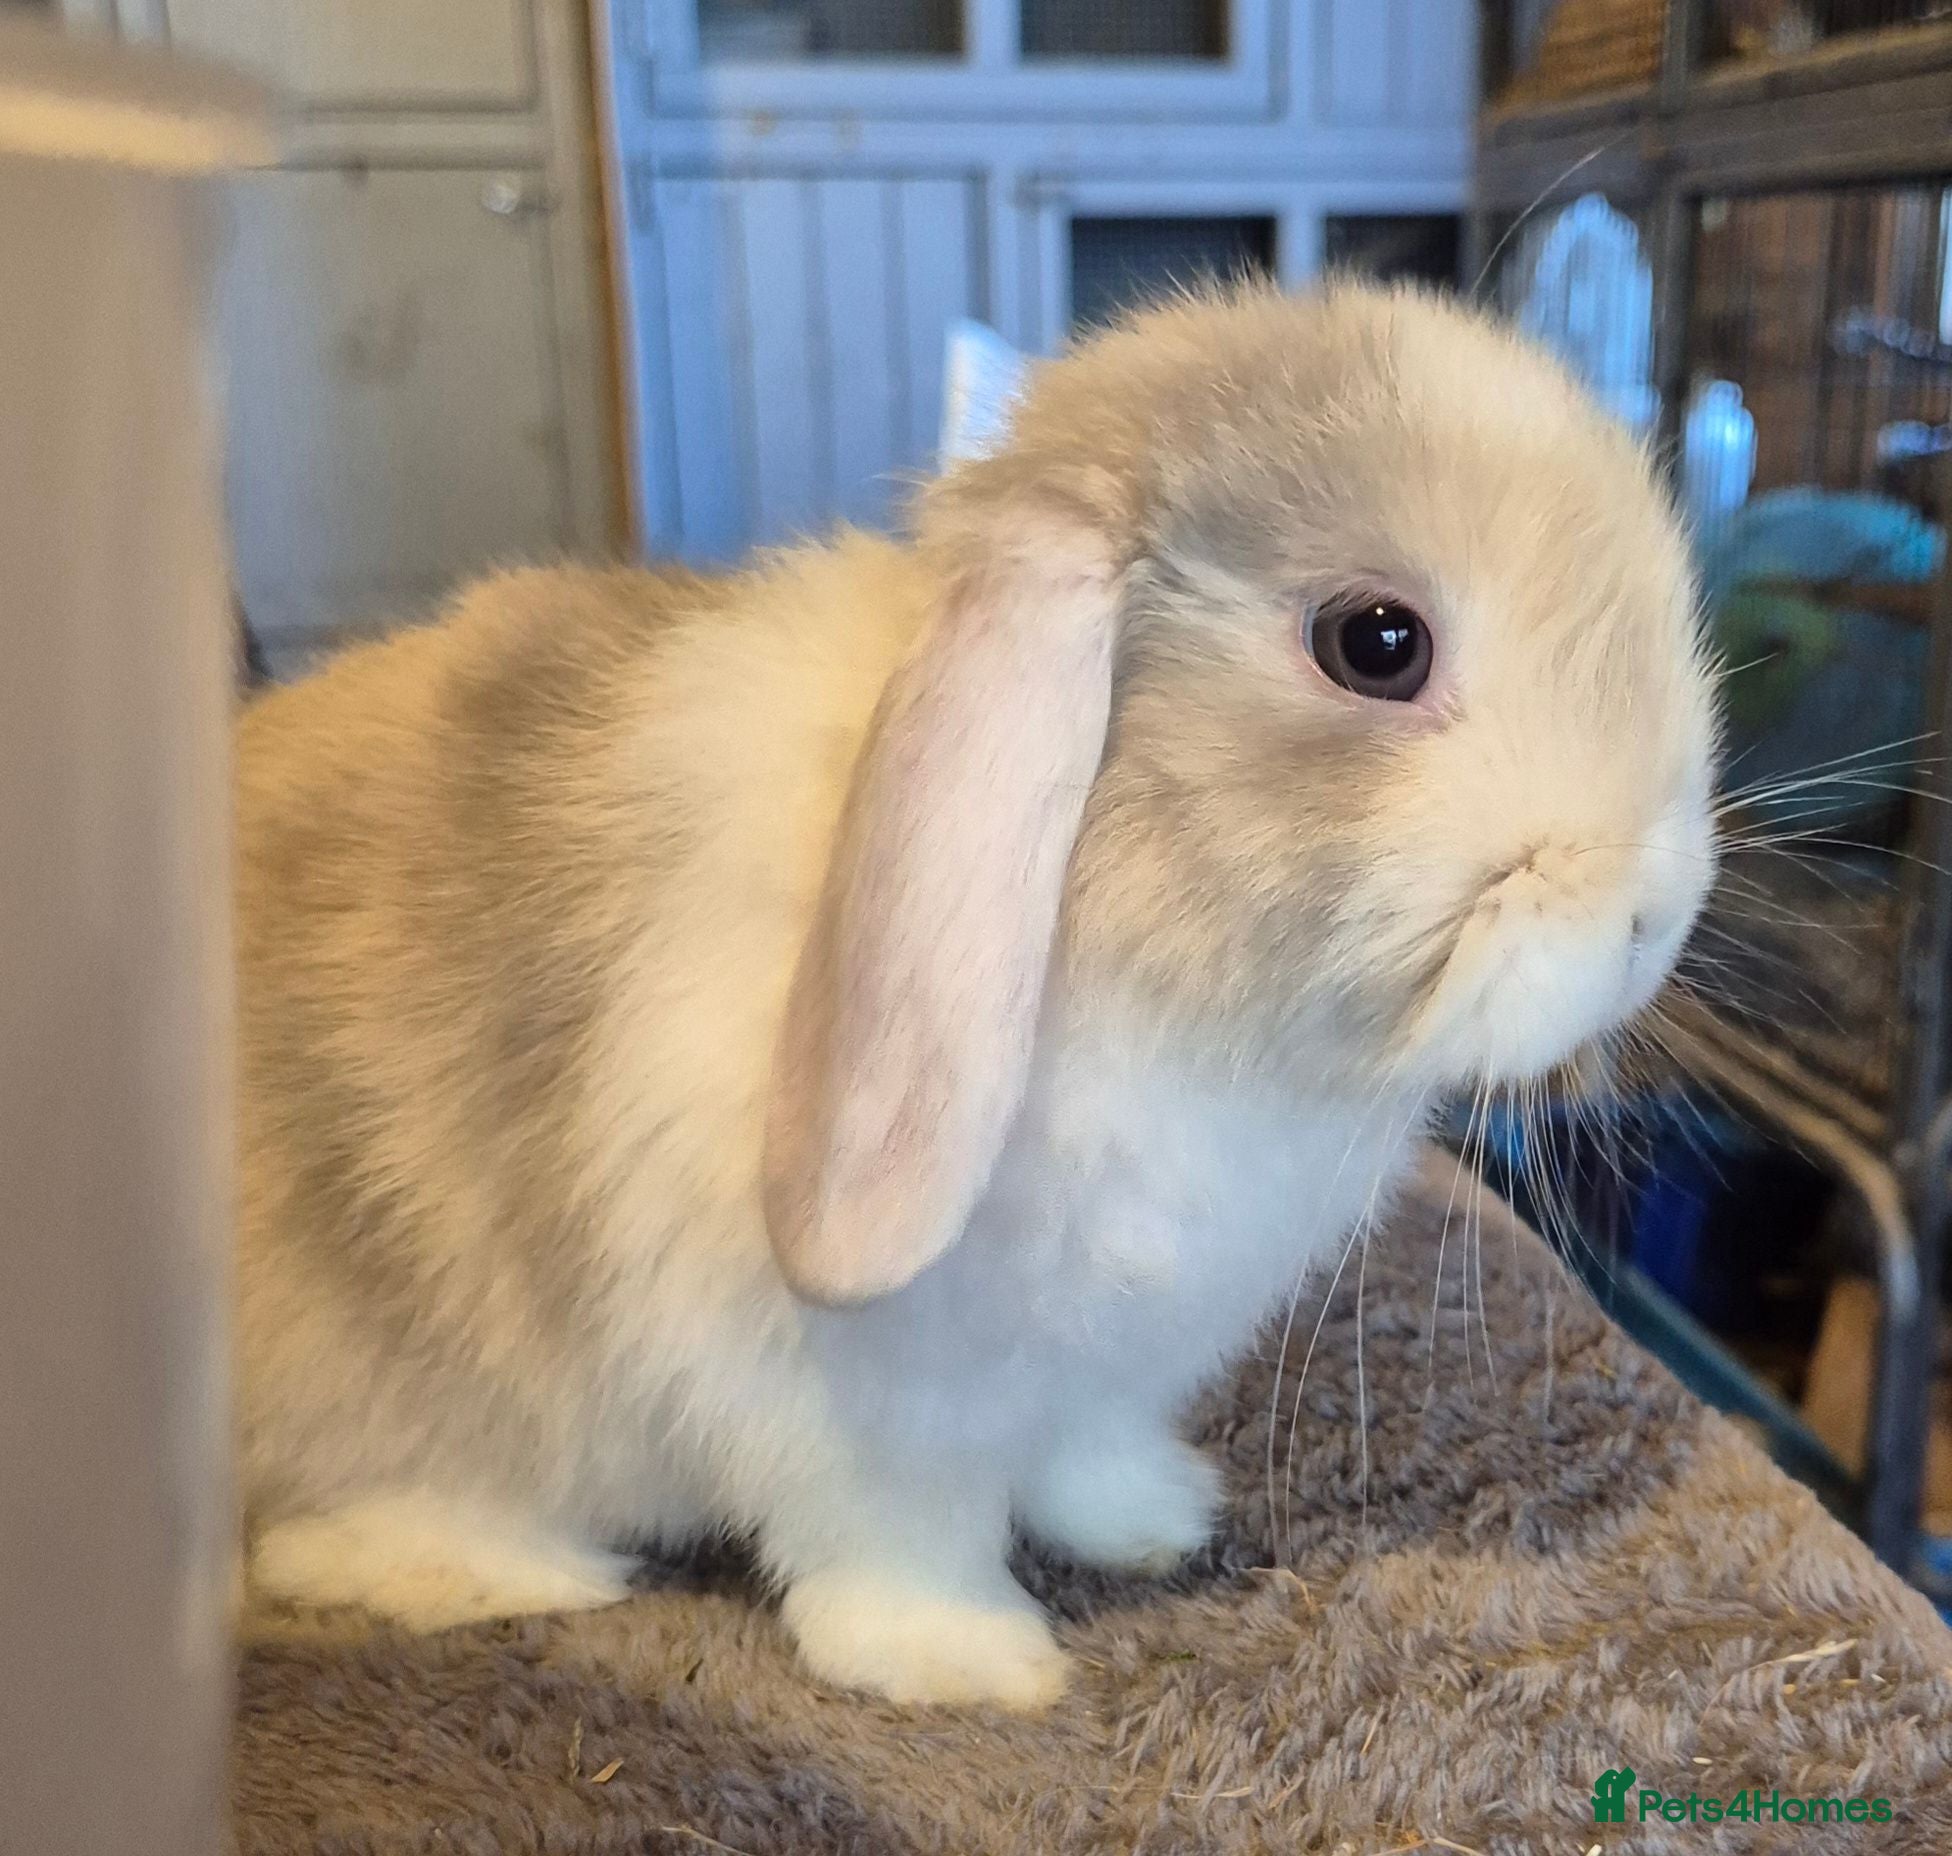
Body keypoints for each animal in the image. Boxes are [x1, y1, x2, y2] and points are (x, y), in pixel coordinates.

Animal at [235, 280, 1719, 1709]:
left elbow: (1079, 1454)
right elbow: (896, 1538)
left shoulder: (1092, 1369)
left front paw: (1153, 1520)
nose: (1650, 917)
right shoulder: (858, 1408)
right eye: (1377, 642)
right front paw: (971, 1662)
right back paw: (493, 1566)